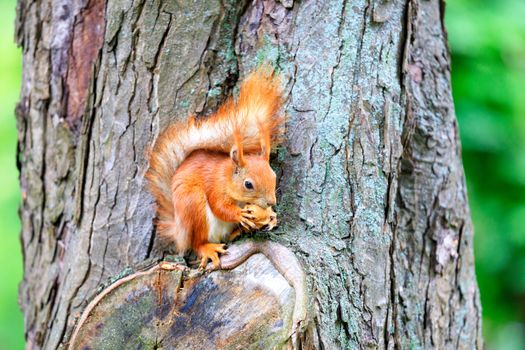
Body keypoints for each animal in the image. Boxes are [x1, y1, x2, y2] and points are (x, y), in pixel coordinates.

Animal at [145, 68, 284, 268]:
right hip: (193, 205)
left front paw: (272, 216)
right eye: (248, 184)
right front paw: (239, 215)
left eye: (273, 176)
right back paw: (208, 248)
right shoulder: (215, 185)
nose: (271, 202)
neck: (228, 177)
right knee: (197, 243)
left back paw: (238, 231)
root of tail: (180, 232)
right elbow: (219, 207)